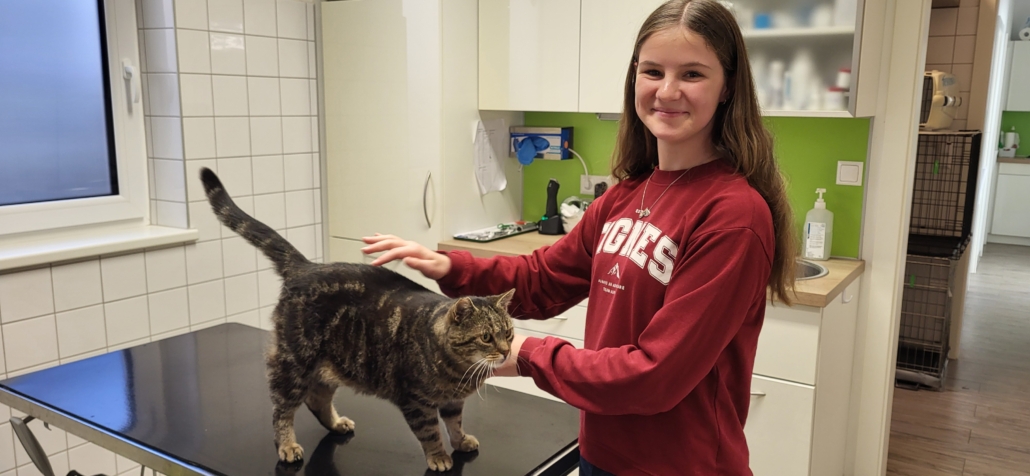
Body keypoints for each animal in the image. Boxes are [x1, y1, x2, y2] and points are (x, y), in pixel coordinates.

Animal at [199, 168, 516, 472]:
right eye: (487, 336)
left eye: (509, 333)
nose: (506, 352)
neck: (458, 370)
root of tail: (306, 267)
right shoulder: (415, 401)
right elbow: (430, 432)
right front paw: (438, 456)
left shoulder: (452, 401)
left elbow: (454, 423)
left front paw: (460, 441)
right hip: (293, 363)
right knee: (282, 410)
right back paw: (287, 445)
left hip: (334, 362)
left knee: (317, 398)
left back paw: (336, 423)